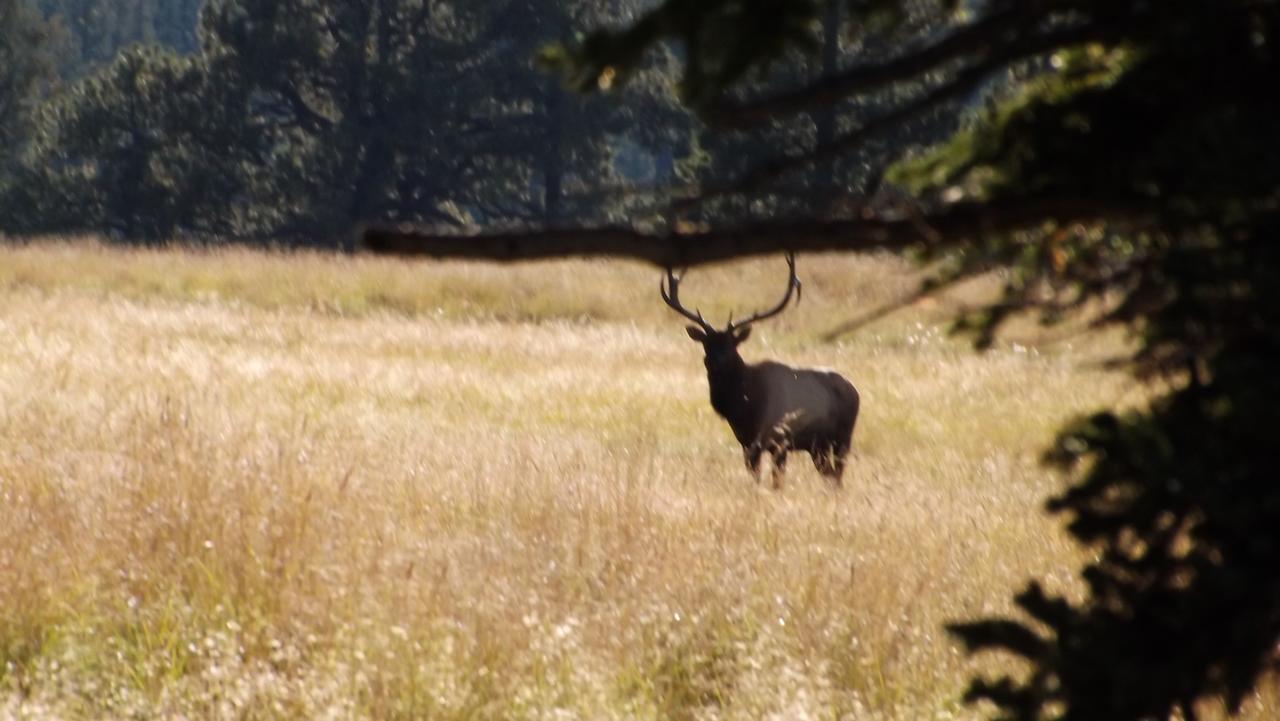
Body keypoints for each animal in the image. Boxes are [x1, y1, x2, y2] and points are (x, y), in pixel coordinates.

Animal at [660, 254, 860, 491]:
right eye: (706, 344)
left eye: (732, 344)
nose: (715, 361)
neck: (743, 405)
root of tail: (855, 391)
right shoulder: (747, 442)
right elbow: (756, 477)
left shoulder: (779, 440)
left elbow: (776, 482)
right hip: (818, 446)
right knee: (830, 475)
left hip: (843, 438)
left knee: (837, 475)